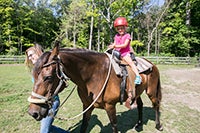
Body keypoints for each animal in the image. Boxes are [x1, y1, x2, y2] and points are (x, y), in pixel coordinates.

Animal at [27, 44, 162, 132]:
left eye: (48, 77)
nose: (33, 112)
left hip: (151, 91)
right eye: (33, 75)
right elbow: (84, 126)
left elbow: (114, 126)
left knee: (156, 105)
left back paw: (158, 125)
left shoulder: (110, 106)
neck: (94, 75)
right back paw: (139, 124)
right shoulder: (87, 106)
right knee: (140, 104)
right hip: (137, 92)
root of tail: (152, 63)